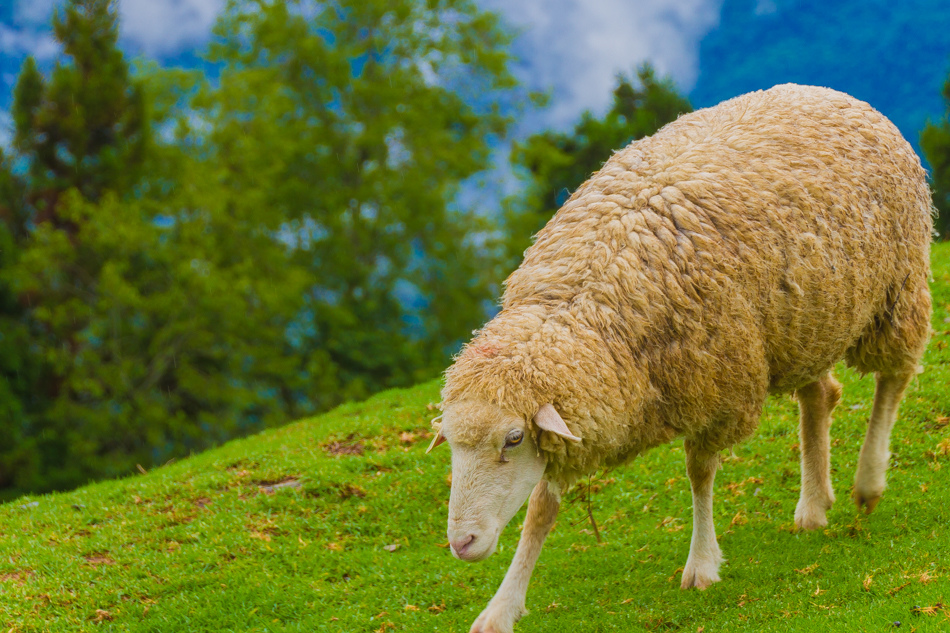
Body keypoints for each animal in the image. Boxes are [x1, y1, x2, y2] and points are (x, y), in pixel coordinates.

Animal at [432, 84, 936, 632]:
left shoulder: (718, 387)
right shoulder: (576, 422)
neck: (585, 301)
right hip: (807, 320)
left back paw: (868, 482)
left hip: (895, 289)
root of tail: (831, 92)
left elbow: (699, 474)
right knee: (821, 396)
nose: (462, 544)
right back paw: (813, 504)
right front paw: (501, 608)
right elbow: (541, 510)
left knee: (895, 375)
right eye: (452, 444)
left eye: (513, 438)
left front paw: (701, 564)